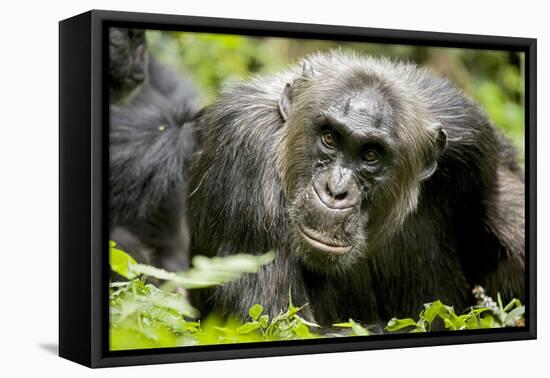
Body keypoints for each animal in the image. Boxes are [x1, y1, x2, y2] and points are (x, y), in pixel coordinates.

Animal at [189, 51, 528, 326]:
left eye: (371, 155)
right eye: (329, 137)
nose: (336, 190)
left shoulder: (473, 138)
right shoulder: (243, 151)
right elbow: (275, 320)